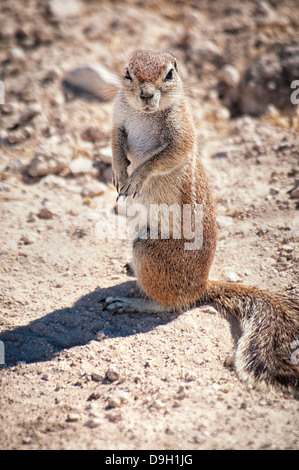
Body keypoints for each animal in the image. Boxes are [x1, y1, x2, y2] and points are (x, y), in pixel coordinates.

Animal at [106, 49, 299, 394]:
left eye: (169, 74)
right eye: (128, 72)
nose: (146, 94)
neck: (143, 113)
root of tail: (202, 286)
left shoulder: (182, 133)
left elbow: (162, 158)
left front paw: (135, 179)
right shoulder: (118, 120)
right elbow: (115, 142)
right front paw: (118, 171)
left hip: (149, 250)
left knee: (172, 304)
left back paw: (128, 301)